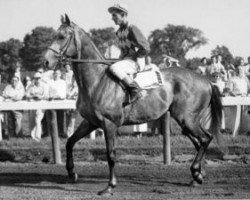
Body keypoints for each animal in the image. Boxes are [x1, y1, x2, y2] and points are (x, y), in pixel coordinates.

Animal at [44, 15, 223, 195]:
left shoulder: (109, 124)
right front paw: (71, 172)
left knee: (206, 138)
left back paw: (196, 172)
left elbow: (111, 155)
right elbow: (70, 142)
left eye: (62, 36)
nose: (46, 61)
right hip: (185, 120)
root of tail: (207, 81)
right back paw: (197, 175)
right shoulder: (90, 122)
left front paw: (110, 186)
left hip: (187, 118)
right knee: (199, 141)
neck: (97, 81)